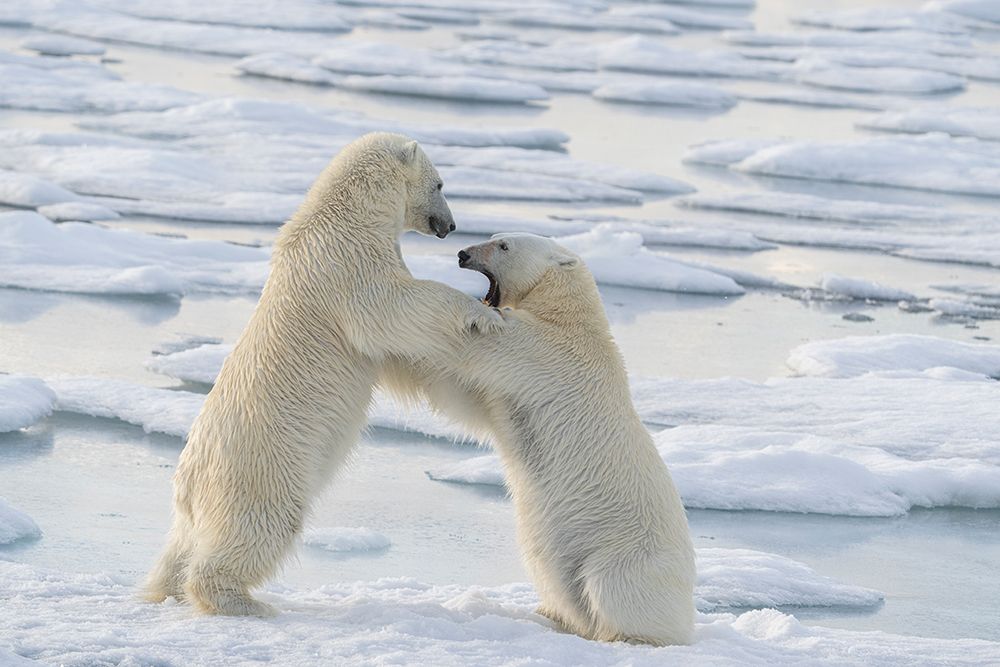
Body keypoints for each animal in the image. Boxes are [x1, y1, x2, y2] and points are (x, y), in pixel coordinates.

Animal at [144, 132, 501, 617]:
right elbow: (391, 306)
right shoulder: (345, 260)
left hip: (199, 497)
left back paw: (161, 590)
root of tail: (189, 482)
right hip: (262, 467)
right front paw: (481, 315)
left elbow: (395, 352)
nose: (451, 226)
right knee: (261, 525)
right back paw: (242, 601)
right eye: (441, 183)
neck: (346, 212)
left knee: (179, 545)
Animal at [384, 233, 696, 646]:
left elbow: (484, 347)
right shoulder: (512, 385)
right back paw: (550, 614)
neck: (568, 315)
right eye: (494, 238)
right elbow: (460, 396)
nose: (462, 253)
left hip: (625, 553)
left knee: (611, 588)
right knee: (557, 581)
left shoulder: (544, 349)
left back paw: (624, 636)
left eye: (502, 245)